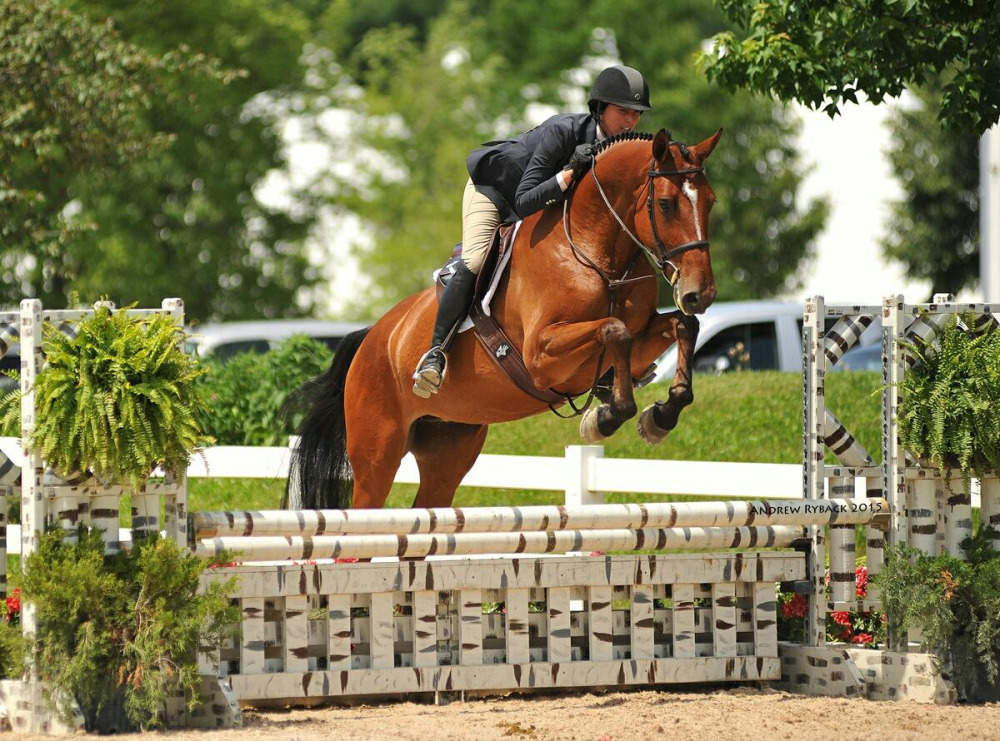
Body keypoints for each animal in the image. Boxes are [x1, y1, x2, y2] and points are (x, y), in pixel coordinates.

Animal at [290, 127, 720, 508]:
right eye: (665, 204)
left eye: (710, 202)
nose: (701, 294)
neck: (596, 252)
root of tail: (371, 338)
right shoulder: (542, 357)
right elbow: (614, 331)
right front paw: (605, 418)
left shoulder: (635, 334)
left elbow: (682, 325)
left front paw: (660, 415)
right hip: (377, 452)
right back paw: (430, 367)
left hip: (449, 444)